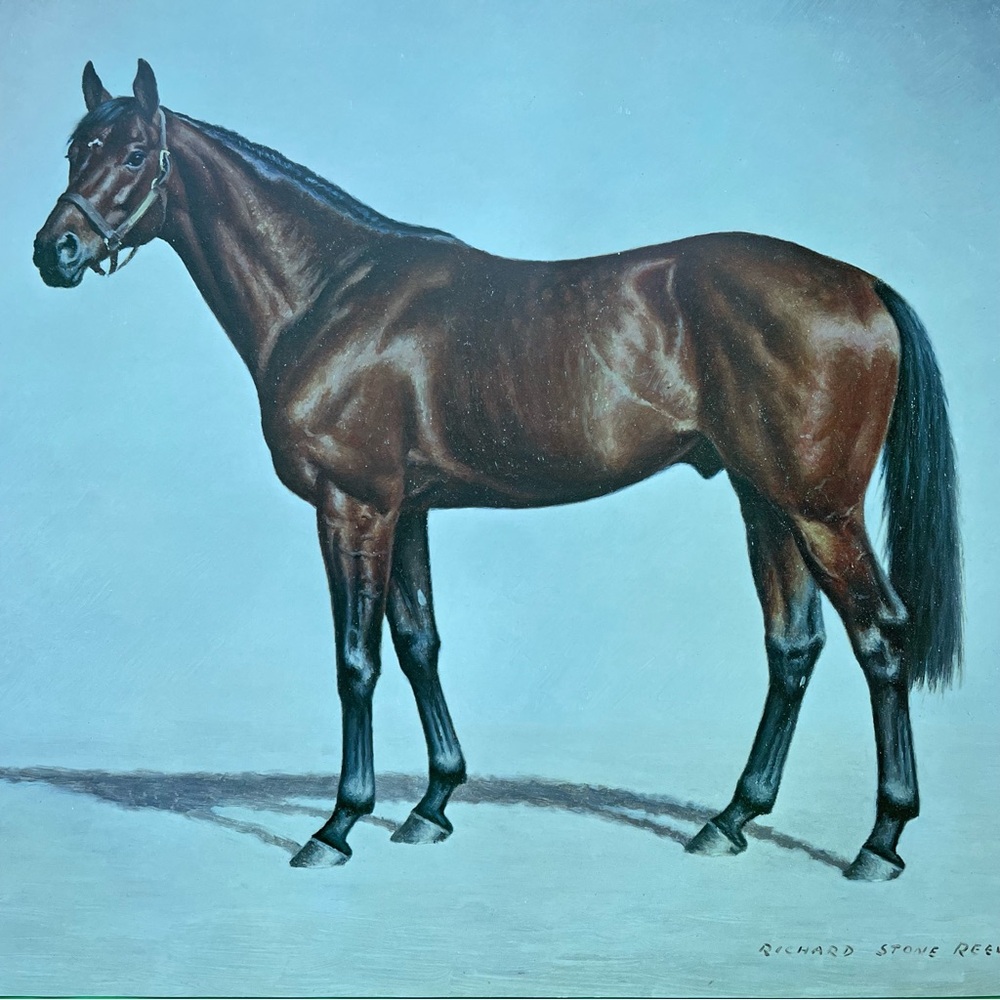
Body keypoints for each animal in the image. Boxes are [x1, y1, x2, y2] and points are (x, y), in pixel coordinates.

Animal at [33, 60, 961, 881]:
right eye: (75, 149)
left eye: (133, 154)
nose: (56, 250)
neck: (331, 293)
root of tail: (863, 286)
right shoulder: (406, 510)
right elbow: (418, 644)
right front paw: (432, 804)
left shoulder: (352, 507)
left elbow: (356, 660)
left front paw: (338, 824)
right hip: (763, 500)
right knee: (793, 645)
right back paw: (730, 821)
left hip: (820, 511)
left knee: (880, 636)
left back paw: (880, 842)